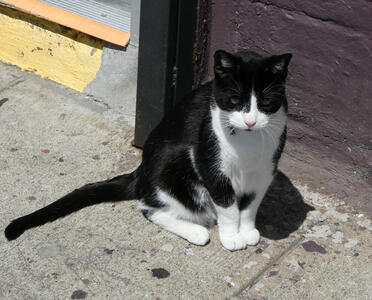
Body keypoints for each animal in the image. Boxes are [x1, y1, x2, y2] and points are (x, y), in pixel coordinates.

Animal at [4, 49, 292, 251]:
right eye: (234, 100)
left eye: (266, 102)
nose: (250, 121)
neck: (248, 143)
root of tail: (140, 171)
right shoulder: (211, 165)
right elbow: (229, 208)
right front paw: (232, 236)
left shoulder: (265, 172)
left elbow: (250, 206)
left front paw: (248, 230)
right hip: (172, 161)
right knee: (149, 207)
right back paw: (196, 232)